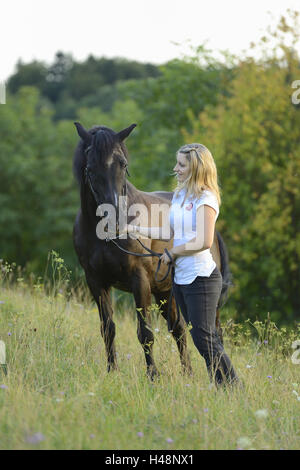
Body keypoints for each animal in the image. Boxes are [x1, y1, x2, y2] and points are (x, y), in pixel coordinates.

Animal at [73, 121, 232, 378]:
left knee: (213, 335)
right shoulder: (96, 282)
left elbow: (145, 333)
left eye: (123, 164)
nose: (115, 219)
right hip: (167, 292)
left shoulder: (139, 281)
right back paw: (187, 375)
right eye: (90, 167)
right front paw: (112, 370)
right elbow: (108, 328)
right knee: (179, 330)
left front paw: (153, 376)